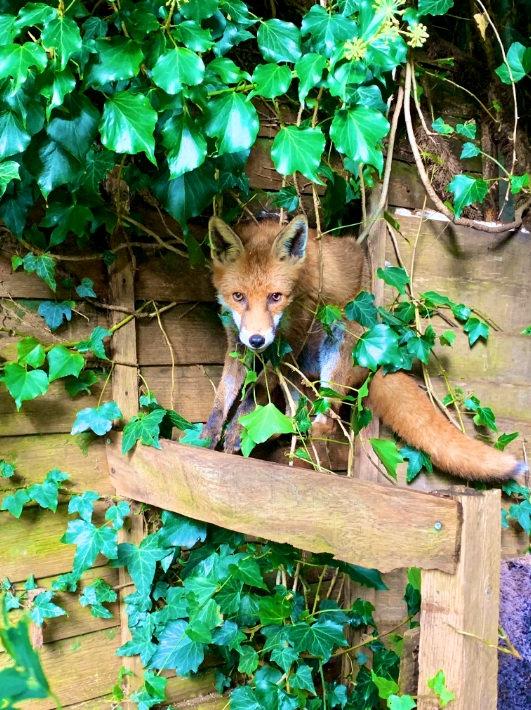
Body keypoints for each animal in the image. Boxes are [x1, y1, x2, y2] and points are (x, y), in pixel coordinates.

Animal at [203, 214, 528, 482]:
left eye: (275, 296)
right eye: (238, 296)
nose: (257, 340)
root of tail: (376, 359)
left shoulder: (290, 343)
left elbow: (256, 390)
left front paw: (238, 430)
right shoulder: (237, 342)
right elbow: (224, 396)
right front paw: (209, 434)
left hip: (336, 344)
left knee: (327, 423)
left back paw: (307, 452)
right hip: (303, 372)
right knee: (298, 409)